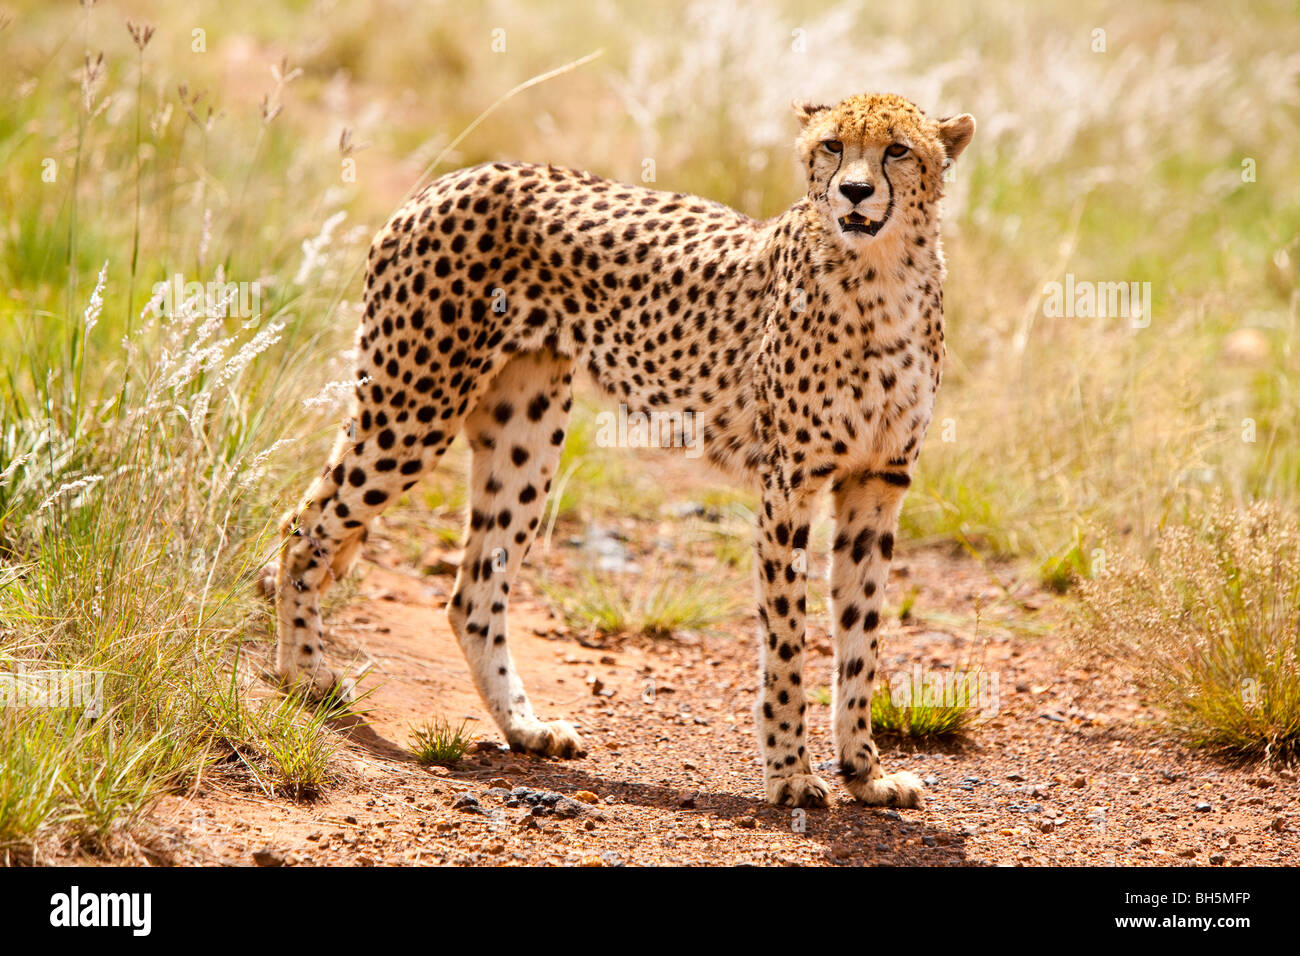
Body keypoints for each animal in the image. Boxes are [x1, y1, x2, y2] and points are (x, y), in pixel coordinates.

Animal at [269, 93, 972, 806]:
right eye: (832, 145)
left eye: (897, 150)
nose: (854, 191)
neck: (881, 274)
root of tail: (452, 178)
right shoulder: (790, 485)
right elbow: (786, 641)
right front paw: (791, 775)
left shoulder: (877, 483)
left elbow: (862, 634)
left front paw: (866, 773)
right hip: (414, 406)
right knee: (304, 525)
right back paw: (306, 675)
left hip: (525, 433)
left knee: (471, 591)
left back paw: (524, 727)